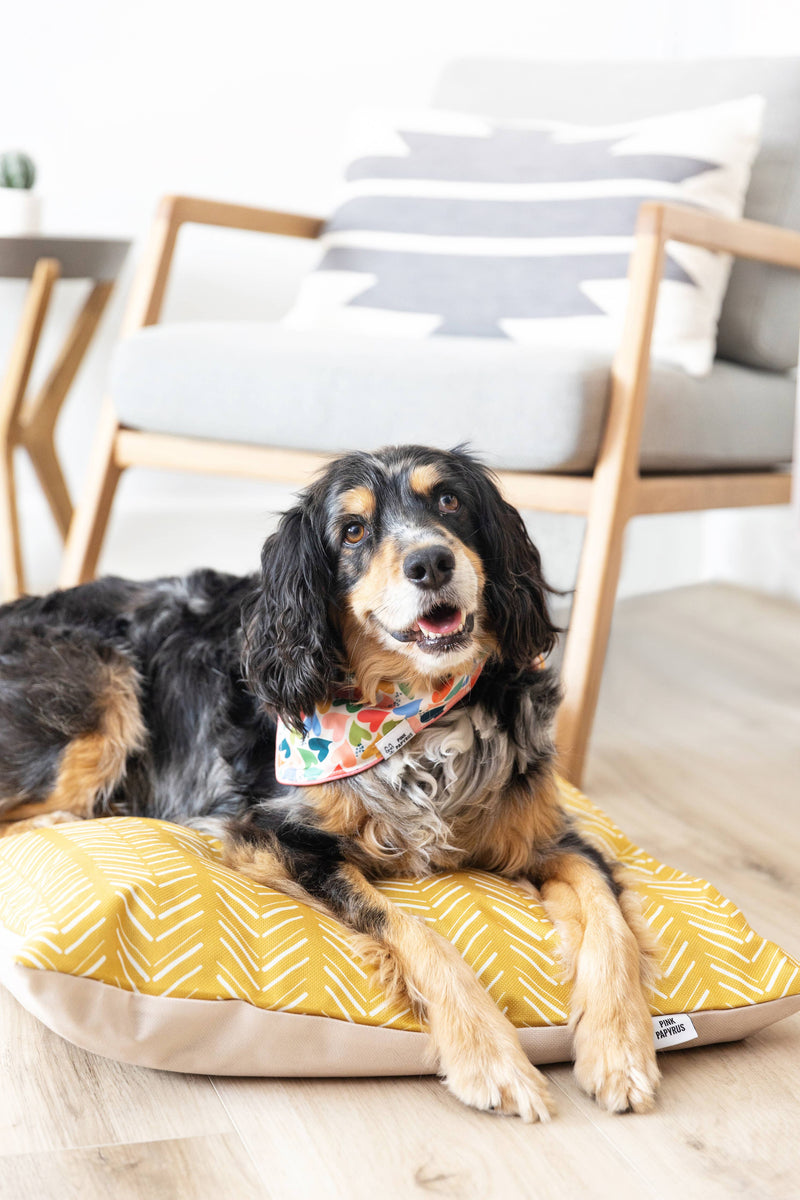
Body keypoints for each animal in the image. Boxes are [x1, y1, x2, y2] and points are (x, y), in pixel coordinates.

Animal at [0, 446, 662, 1118]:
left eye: (449, 501)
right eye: (352, 531)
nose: (431, 561)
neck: (414, 712)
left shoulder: (552, 836)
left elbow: (608, 919)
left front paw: (620, 1052)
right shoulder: (274, 834)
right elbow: (411, 929)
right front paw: (491, 1056)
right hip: (103, 693)